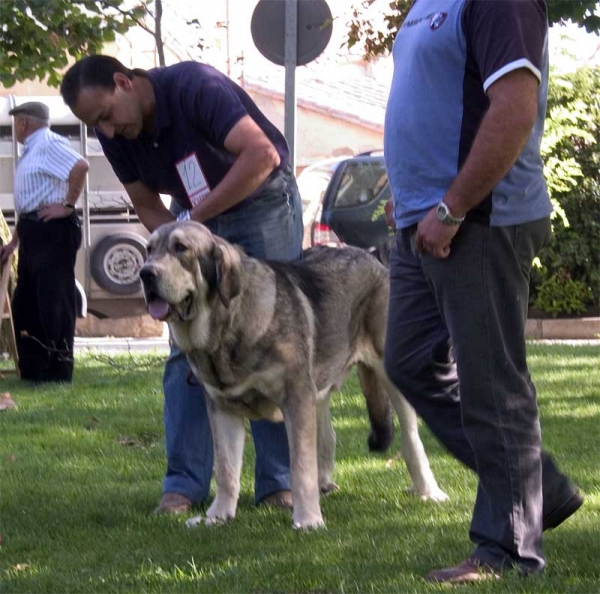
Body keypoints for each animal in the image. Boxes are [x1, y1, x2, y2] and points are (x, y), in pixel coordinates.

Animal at [138, 222, 442, 528]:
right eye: (149, 250)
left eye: (181, 248)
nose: (145, 273)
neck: (227, 327)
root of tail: (370, 254)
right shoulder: (223, 410)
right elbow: (225, 470)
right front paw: (218, 516)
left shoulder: (296, 399)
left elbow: (300, 466)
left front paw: (307, 519)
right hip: (318, 389)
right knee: (328, 435)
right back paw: (324, 483)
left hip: (389, 374)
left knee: (411, 439)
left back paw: (428, 490)